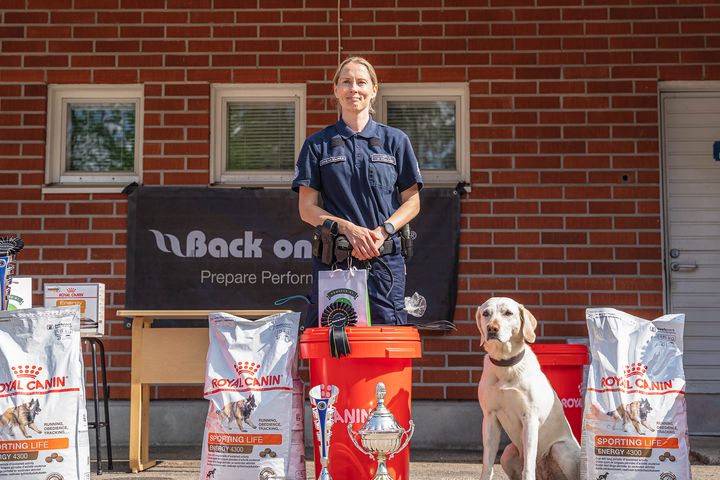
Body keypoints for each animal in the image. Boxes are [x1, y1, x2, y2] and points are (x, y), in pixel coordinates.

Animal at [476, 298, 584, 478]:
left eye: (508, 313)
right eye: (486, 313)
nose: (491, 328)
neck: (506, 365)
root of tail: (545, 476)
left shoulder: (530, 418)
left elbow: (528, 465)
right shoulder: (490, 417)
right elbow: (487, 463)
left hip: (561, 449)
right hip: (508, 452)